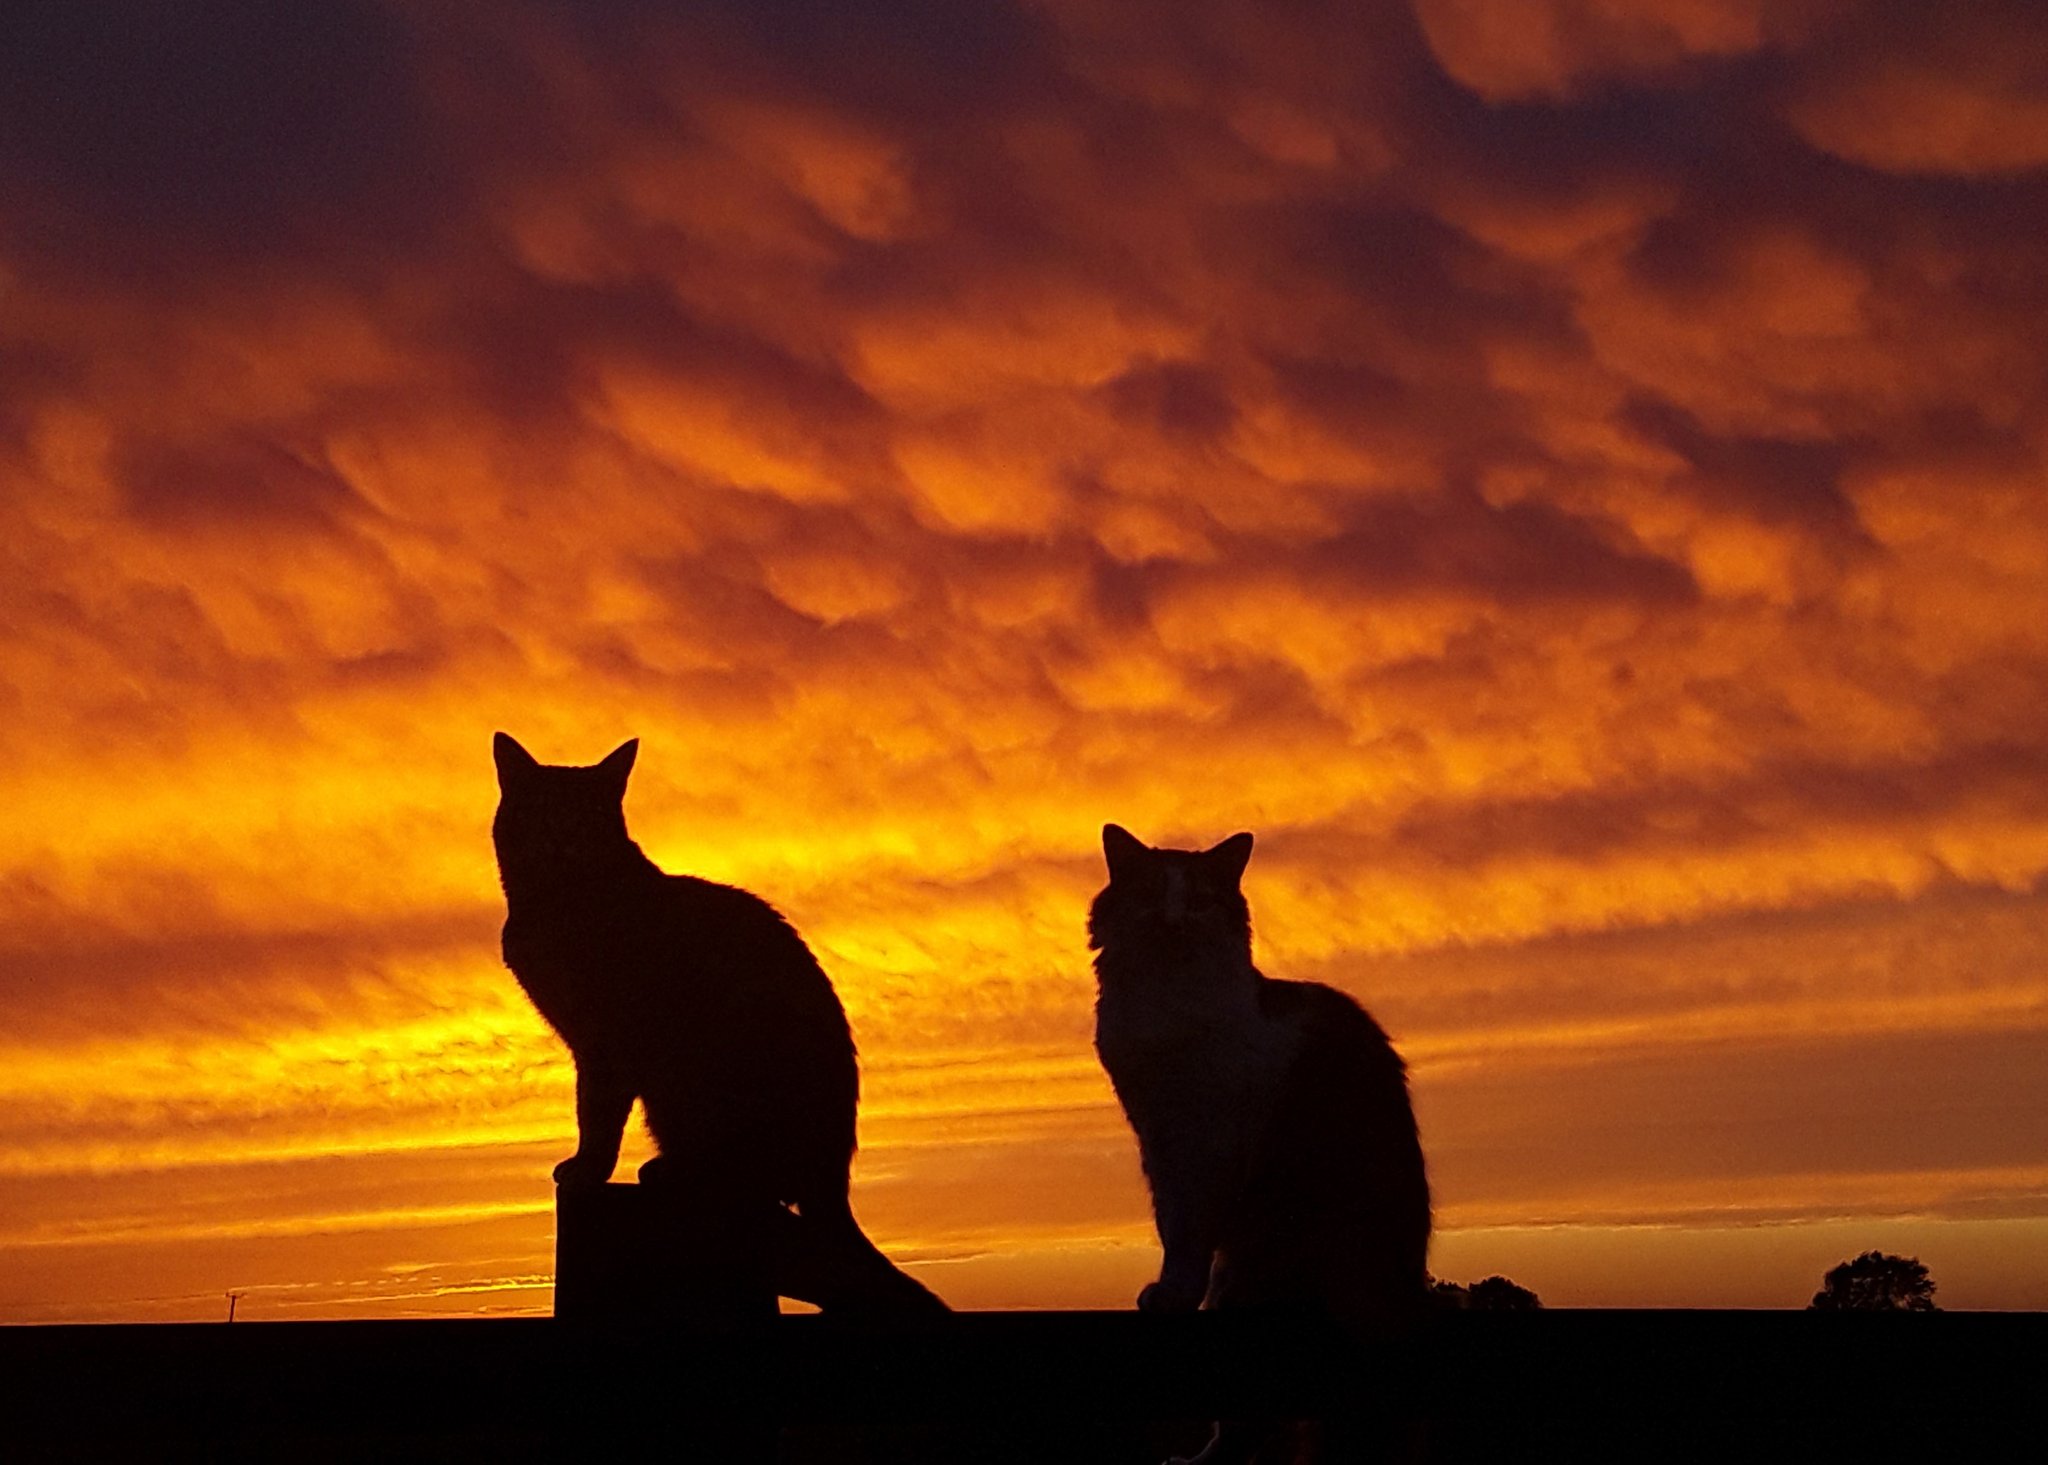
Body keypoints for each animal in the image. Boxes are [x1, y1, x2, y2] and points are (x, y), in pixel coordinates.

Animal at [491, 733, 946, 1319]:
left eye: (588, 813)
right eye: (544, 808)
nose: (564, 835)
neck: (556, 902)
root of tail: (833, 1180)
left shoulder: (606, 1041)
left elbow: (595, 1114)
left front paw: (587, 1169)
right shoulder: (586, 1041)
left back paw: (669, 1170)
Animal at [1089, 831, 1425, 1458]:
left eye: (1199, 899)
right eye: (1150, 893)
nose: (1174, 921)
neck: (1167, 1010)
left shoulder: (1208, 1142)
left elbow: (1186, 1236)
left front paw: (1171, 1294)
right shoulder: (1160, 1141)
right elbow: (1171, 1225)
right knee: (1249, 1428)